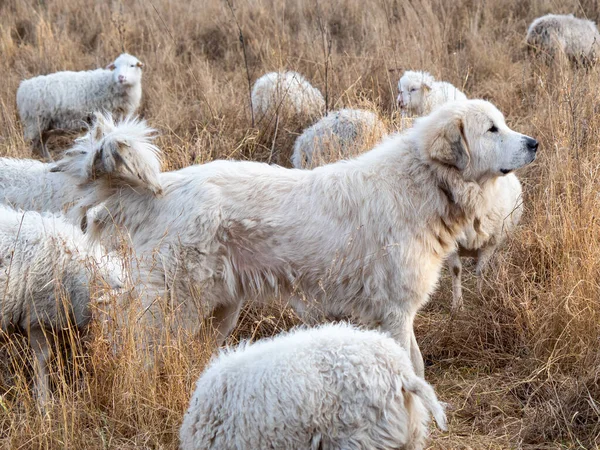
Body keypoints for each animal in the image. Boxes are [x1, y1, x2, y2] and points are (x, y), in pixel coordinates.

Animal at [16, 53, 144, 160]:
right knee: (30, 142)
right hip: (34, 122)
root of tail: (23, 87)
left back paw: (49, 160)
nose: (121, 77)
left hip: (45, 124)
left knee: (41, 142)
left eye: (132, 65)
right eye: (115, 66)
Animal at [448, 171, 524, 310]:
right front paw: (457, 305)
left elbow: (481, 270)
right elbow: (456, 271)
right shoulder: (452, 245)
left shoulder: (490, 243)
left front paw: (479, 296)